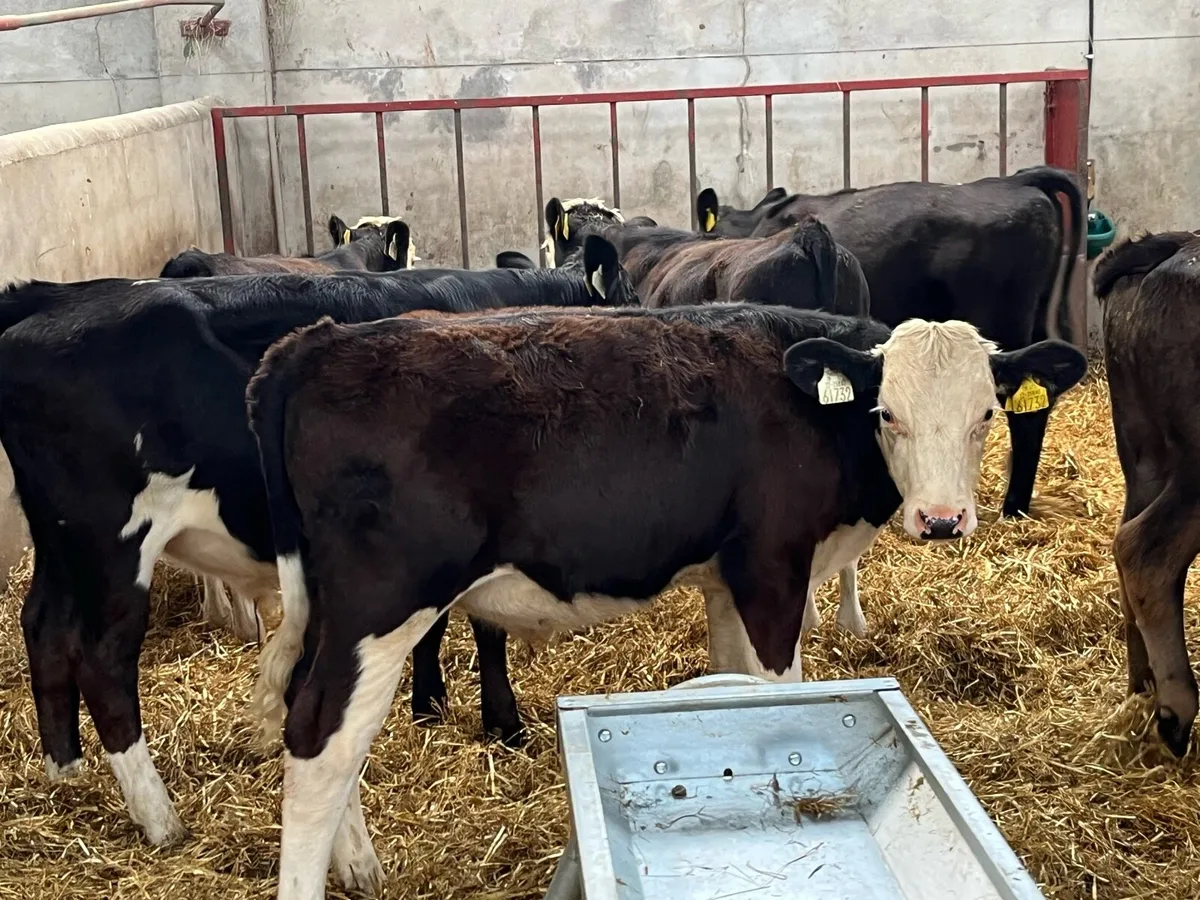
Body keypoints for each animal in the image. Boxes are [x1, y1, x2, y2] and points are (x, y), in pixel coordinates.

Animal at [0, 236, 635, 847]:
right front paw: (501, 722)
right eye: (628, 293)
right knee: (103, 657)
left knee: (44, 626)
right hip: (113, 542)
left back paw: (67, 774)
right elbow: (484, 628)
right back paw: (161, 820)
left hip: (60, 542)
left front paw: (428, 704)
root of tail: (47, 301)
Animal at [244, 302, 1086, 899]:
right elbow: (779, 691)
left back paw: (358, 865)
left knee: (308, 709)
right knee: (324, 734)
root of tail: (319, 342)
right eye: (888, 413)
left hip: (329, 604)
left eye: (986, 414)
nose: (942, 519)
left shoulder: (727, 582)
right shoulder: (772, 569)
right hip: (384, 599)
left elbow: (731, 682)